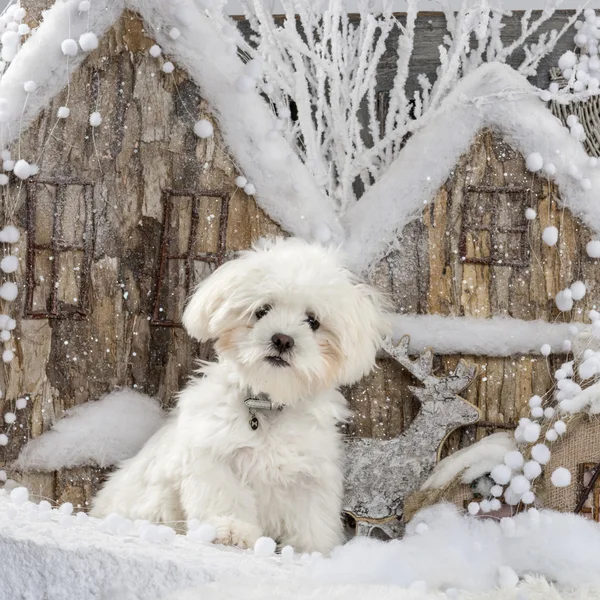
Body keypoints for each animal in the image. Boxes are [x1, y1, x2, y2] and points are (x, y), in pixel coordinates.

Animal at [91, 236, 386, 552]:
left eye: (313, 321)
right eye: (262, 310)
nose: (282, 339)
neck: (268, 402)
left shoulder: (311, 475)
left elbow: (312, 518)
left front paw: (313, 550)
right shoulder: (215, 455)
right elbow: (226, 497)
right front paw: (232, 530)